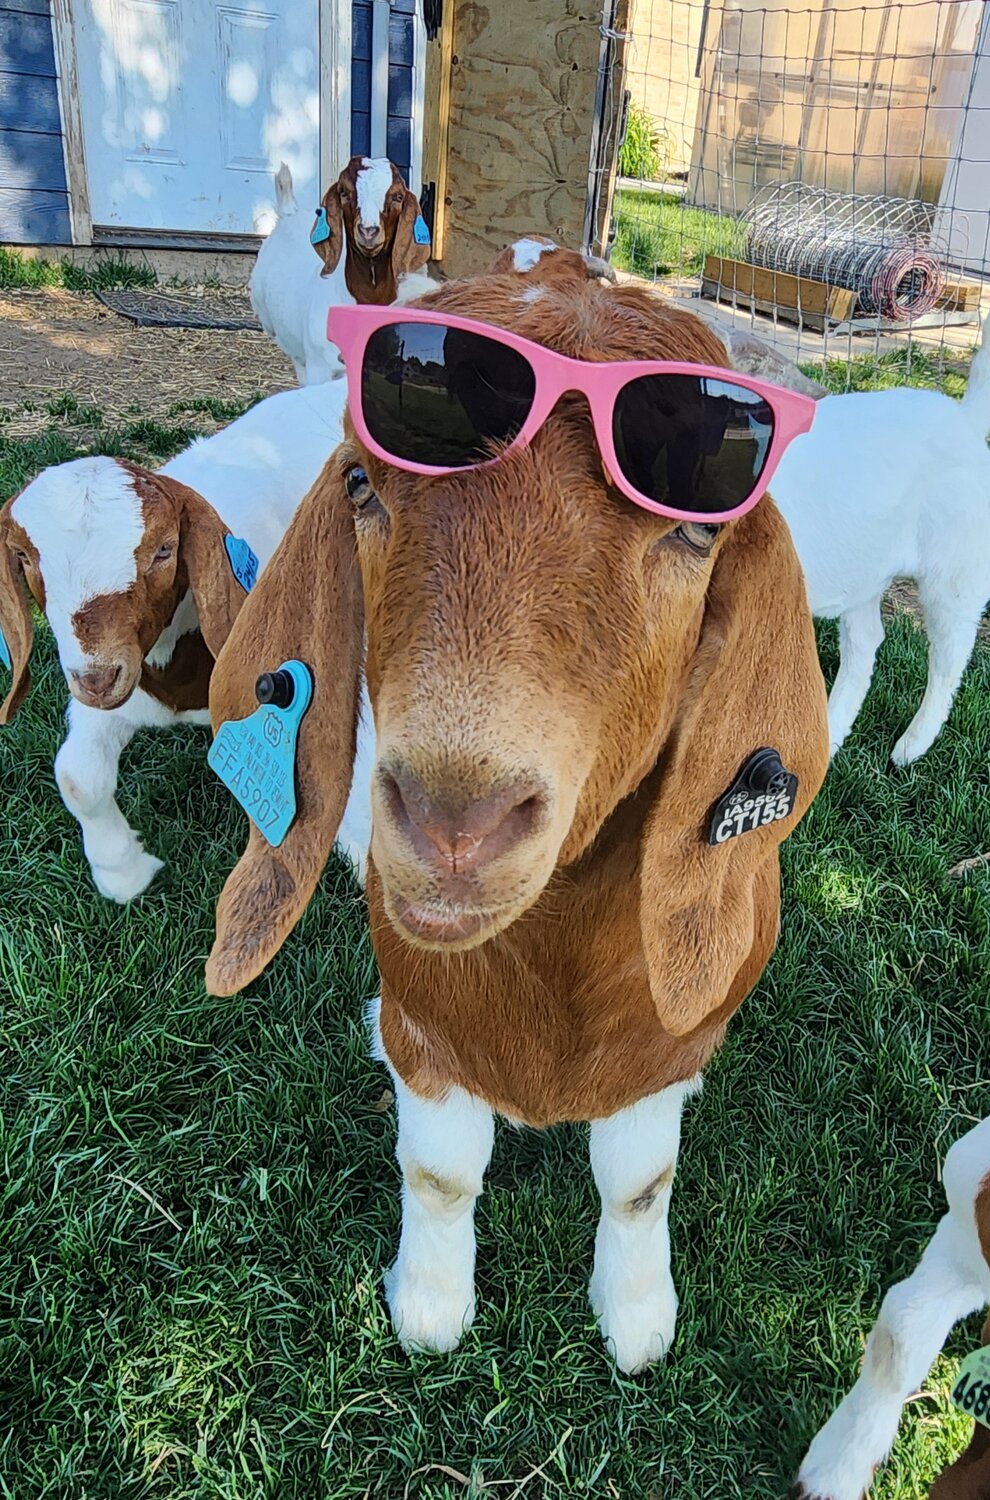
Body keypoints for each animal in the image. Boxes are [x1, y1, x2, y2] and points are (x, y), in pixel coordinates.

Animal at [774, 315, 990, 762]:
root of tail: (965, 420)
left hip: (953, 578)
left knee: (949, 657)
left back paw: (912, 745)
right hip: (862, 570)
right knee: (865, 643)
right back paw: (830, 736)